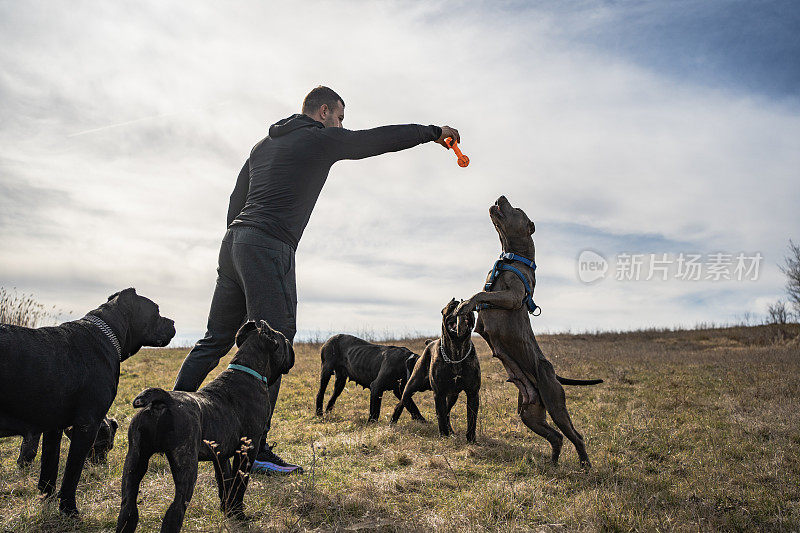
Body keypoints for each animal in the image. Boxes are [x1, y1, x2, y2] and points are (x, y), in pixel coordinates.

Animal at [0, 286, 174, 516]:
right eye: (156, 310)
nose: (173, 322)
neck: (108, 335)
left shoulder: (53, 428)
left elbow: (49, 467)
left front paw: (47, 498)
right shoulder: (87, 425)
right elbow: (72, 473)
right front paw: (69, 509)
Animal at [115, 320, 294, 532]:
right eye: (284, 340)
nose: (291, 346)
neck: (247, 367)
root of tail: (163, 401)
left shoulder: (221, 456)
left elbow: (225, 483)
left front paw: (228, 511)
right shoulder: (248, 449)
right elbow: (239, 484)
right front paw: (239, 515)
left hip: (134, 461)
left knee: (128, 508)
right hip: (186, 466)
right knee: (175, 510)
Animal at [390, 300, 478, 440]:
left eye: (472, 308)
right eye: (452, 305)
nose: (464, 308)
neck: (457, 350)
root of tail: (430, 343)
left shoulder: (473, 393)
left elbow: (471, 419)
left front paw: (471, 440)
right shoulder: (439, 393)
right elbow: (441, 415)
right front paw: (444, 436)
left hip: (453, 395)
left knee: (447, 411)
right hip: (411, 387)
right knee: (403, 401)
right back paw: (394, 420)